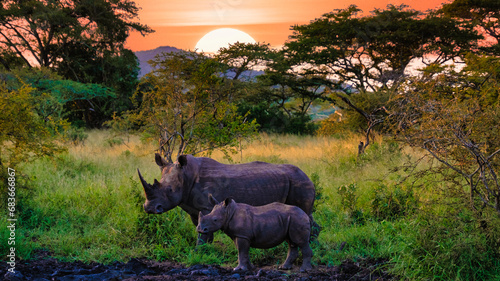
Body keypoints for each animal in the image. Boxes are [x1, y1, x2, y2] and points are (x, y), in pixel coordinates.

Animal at [140, 153, 320, 243]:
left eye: (170, 190)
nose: (149, 208)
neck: (186, 175)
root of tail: (308, 176)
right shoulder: (194, 208)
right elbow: (201, 228)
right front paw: (205, 251)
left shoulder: (207, 206)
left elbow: (203, 232)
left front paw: (200, 250)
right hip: (295, 180)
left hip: (299, 181)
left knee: (303, 212)